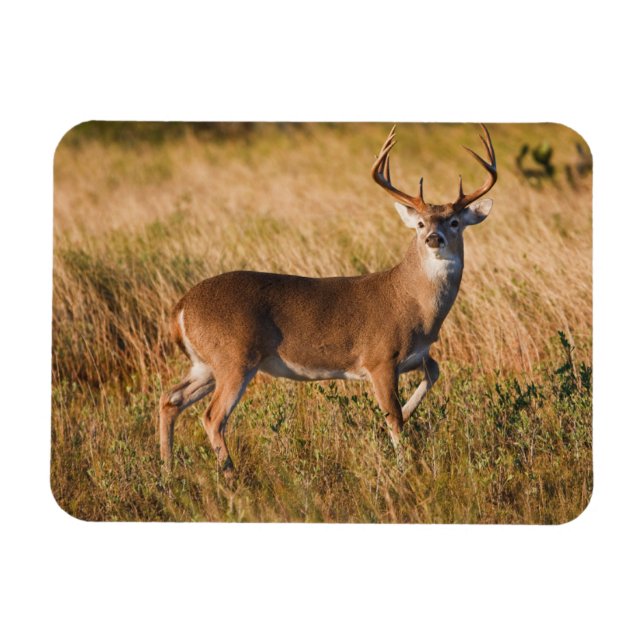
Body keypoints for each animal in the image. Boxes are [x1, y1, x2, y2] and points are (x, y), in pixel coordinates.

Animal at [159, 124, 497, 478]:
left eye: (454, 222)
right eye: (420, 223)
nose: (434, 238)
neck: (414, 304)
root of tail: (180, 308)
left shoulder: (416, 355)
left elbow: (433, 372)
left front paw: (403, 415)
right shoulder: (379, 358)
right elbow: (394, 419)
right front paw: (405, 470)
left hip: (204, 363)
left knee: (170, 399)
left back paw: (168, 473)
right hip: (234, 358)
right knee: (212, 417)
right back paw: (230, 477)